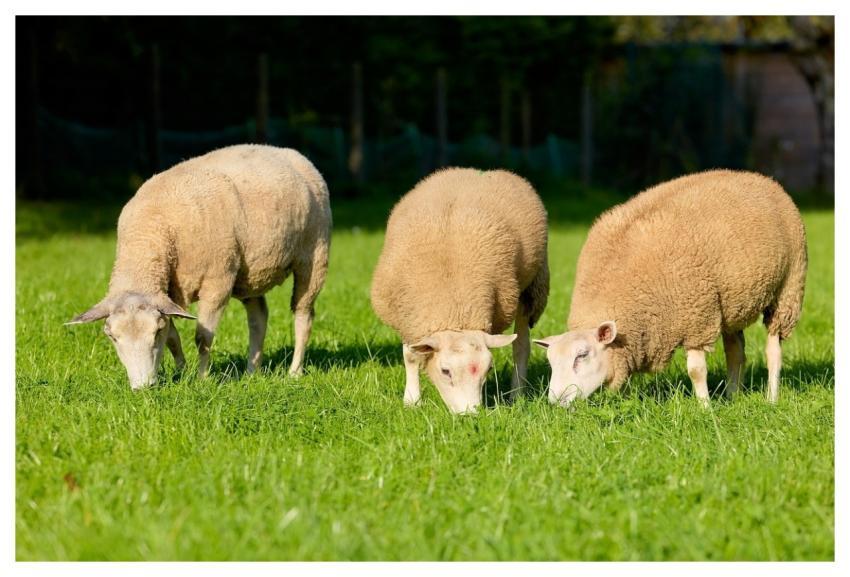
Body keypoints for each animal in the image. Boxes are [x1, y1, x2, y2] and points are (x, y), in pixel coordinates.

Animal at [67, 144, 331, 389]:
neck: (150, 236)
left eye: (155, 332)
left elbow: (203, 337)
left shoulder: (217, 282)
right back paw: (251, 371)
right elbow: (174, 338)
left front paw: (202, 379)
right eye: (112, 337)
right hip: (250, 273)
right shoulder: (167, 294)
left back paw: (294, 372)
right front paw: (182, 372)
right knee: (258, 317)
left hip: (314, 255)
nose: (143, 387)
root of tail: (290, 152)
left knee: (303, 315)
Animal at [370, 167, 549, 413]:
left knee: (521, 347)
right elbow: (411, 356)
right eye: (445, 371)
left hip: (532, 288)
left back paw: (516, 395)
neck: (454, 310)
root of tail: (476, 172)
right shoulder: (408, 316)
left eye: (488, 370)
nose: (470, 414)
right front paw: (412, 401)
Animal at [534, 169, 807, 407]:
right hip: (731, 305)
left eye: (582, 355)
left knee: (773, 350)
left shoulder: (697, 318)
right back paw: (732, 396)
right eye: (551, 362)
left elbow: (696, 371)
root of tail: (760, 178)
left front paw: (705, 408)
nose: (556, 401)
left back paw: (771, 398)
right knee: (735, 352)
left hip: (788, 290)